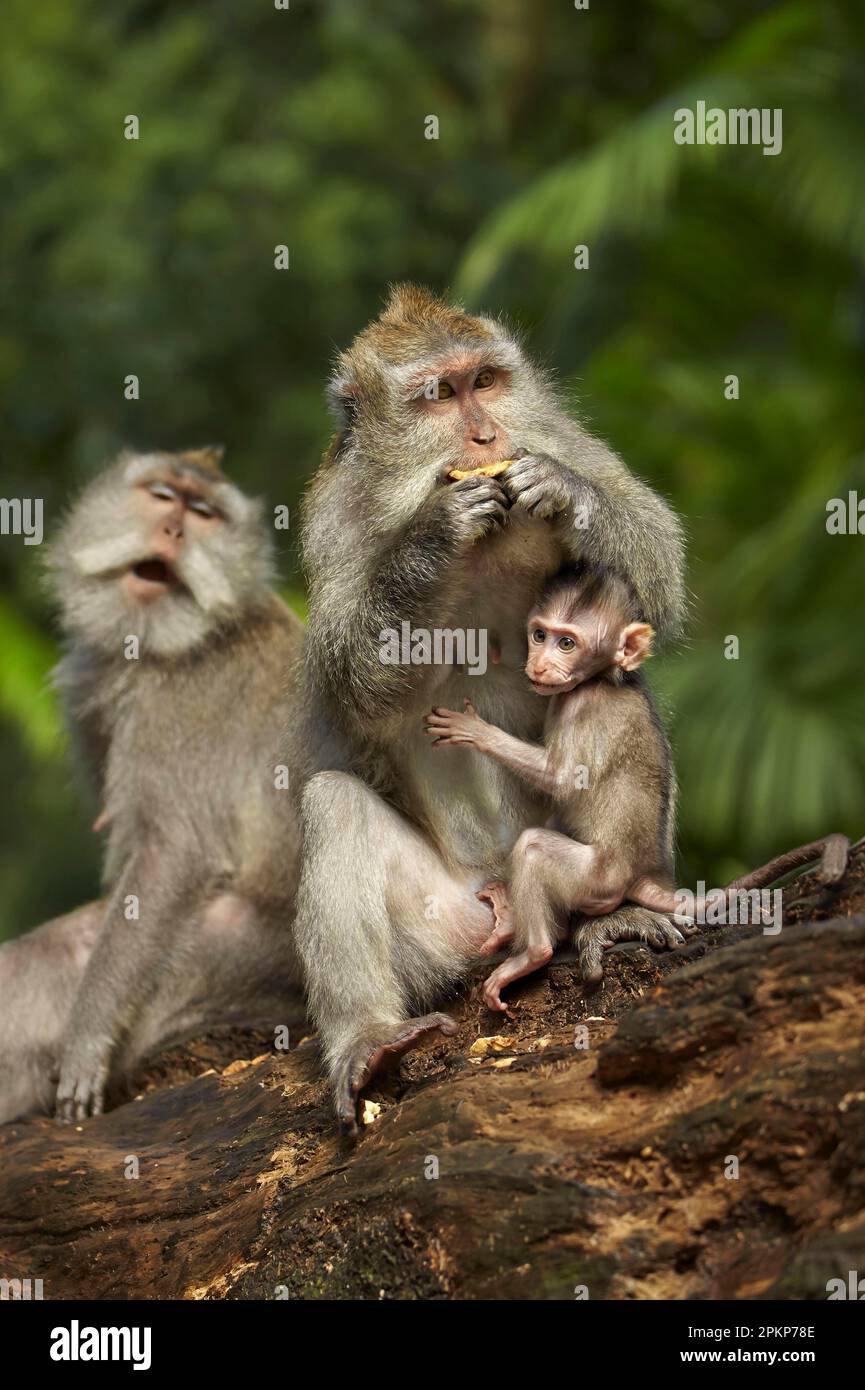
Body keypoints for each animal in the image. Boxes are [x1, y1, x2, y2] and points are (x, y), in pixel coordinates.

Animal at [0, 447, 305, 1124]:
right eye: (164, 496)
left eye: (204, 513)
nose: (173, 530)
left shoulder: (183, 709)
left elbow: (172, 855)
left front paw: (87, 1038)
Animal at [294, 283, 692, 1131]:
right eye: (440, 395)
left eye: (485, 380)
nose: (486, 434)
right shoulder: (333, 519)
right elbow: (350, 680)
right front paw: (431, 537)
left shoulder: (563, 437)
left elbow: (653, 561)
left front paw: (567, 495)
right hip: (445, 928)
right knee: (332, 806)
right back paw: (367, 1039)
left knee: (624, 697)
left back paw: (621, 912)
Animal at [423, 565, 850, 1010]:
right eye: (539, 635)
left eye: (567, 643)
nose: (539, 664)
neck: (600, 679)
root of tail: (641, 877)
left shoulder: (584, 707)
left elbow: (562, 780)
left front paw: (476, 731)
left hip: (598, 880)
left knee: (534, 849)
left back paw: (534, 952)